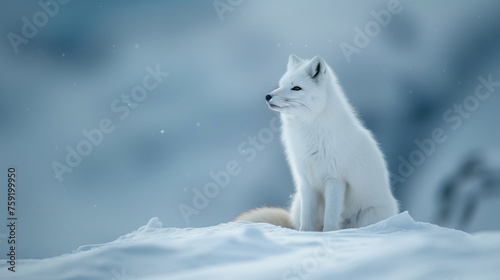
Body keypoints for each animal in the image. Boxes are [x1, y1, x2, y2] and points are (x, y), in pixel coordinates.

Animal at [234, 55, 398, 232]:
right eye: (281, 84)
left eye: (296, 88)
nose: (268, 96)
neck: (309, 135)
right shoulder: (306, 181)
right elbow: (307, 219)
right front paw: (305, 234)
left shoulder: (335, 179)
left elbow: (331, 219)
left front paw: (329, 234)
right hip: (298, 203)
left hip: (368, 215)